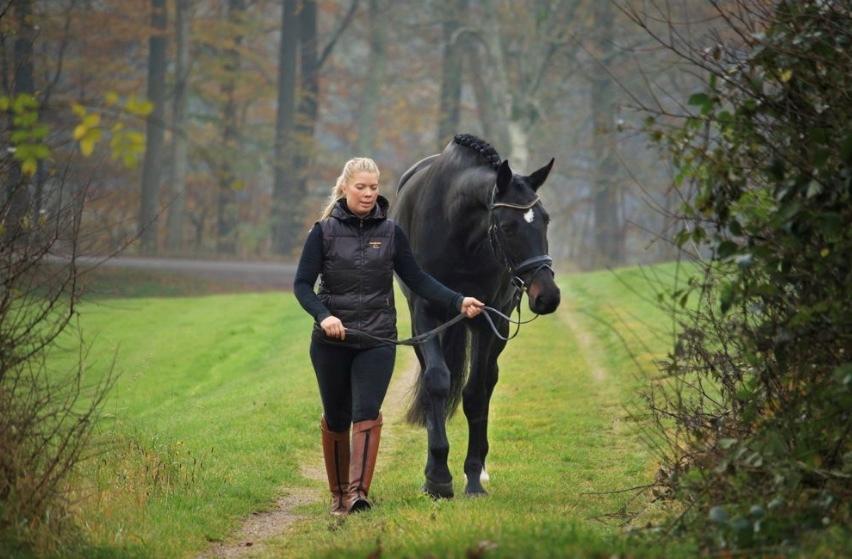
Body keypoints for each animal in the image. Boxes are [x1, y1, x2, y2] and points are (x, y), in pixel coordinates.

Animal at [392, 133, 560, 496]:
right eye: (508, 227)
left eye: (546, 219)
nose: (548, 296)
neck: (456, 229)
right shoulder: (425, 313)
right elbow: (437, 383)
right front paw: (437, 476)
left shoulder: (486, 318)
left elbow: (475, 394)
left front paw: (471, 475)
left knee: (489, 379)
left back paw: (481, 468)